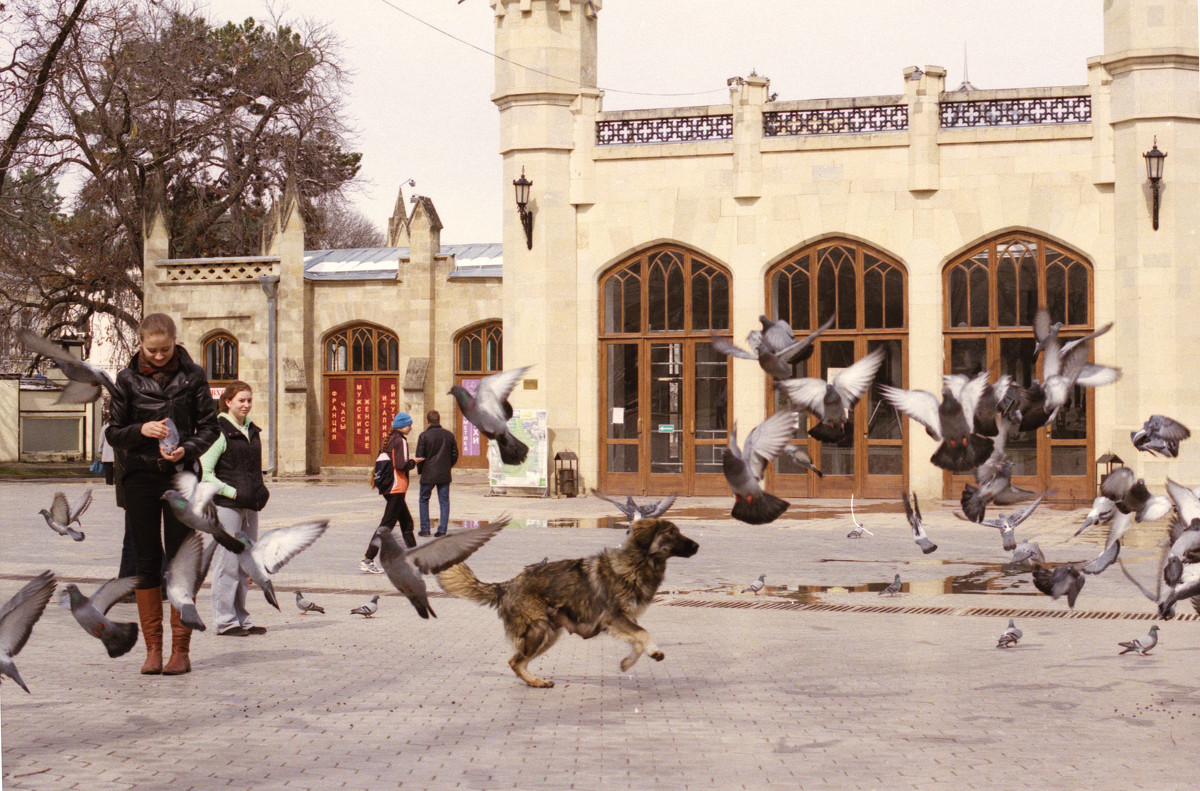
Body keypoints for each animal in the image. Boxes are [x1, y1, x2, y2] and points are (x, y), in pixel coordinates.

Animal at [436, 520, 700, 686]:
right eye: (672, 532)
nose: (697, 546)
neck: (637, 563)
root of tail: (506, 585)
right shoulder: (614, 617)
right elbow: (643, 633)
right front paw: (654, 651)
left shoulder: (622, 620)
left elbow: (636, 641)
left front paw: (627, 663)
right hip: (539, 630)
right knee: (515, 661)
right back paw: (536, 682)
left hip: (551, 633)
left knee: (518, 661)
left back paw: (536, 681)